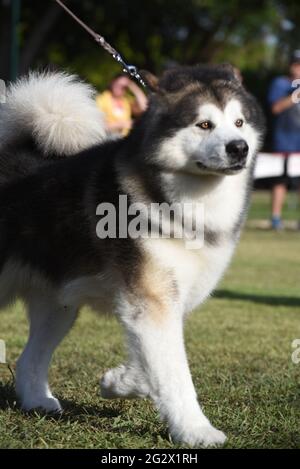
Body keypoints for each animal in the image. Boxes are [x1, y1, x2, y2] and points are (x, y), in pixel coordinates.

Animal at [0, 65, 262, 446]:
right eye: (204, 124)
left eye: (239, 122)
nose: (239, 148)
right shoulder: (150, 299)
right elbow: (175, 372)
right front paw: (195, 430)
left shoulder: (162, 300)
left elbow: (157, 359)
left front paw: (118, 381)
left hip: (58, 305)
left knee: (29, 359)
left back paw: (38, 401)